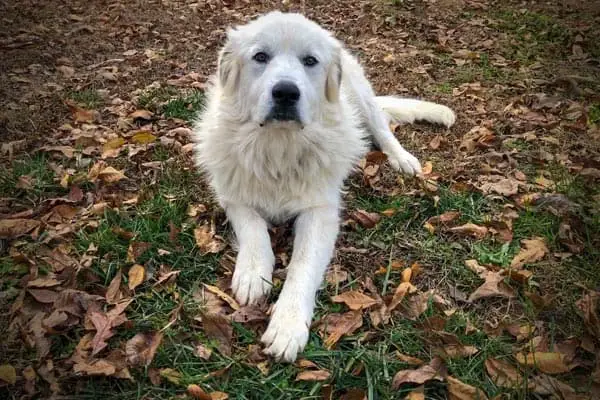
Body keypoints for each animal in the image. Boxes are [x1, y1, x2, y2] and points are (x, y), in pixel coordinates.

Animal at [192, 12, 454, 362]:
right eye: (260, 57)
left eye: (310, 61)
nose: (285, 93)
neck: (279, 147)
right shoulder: (232, 195)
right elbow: (253, 228)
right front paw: (252, 272)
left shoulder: (320, 212)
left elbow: (302, 267)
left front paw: (287, 326)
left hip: (362, 99)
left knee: (383, 131)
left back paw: (402, 159)